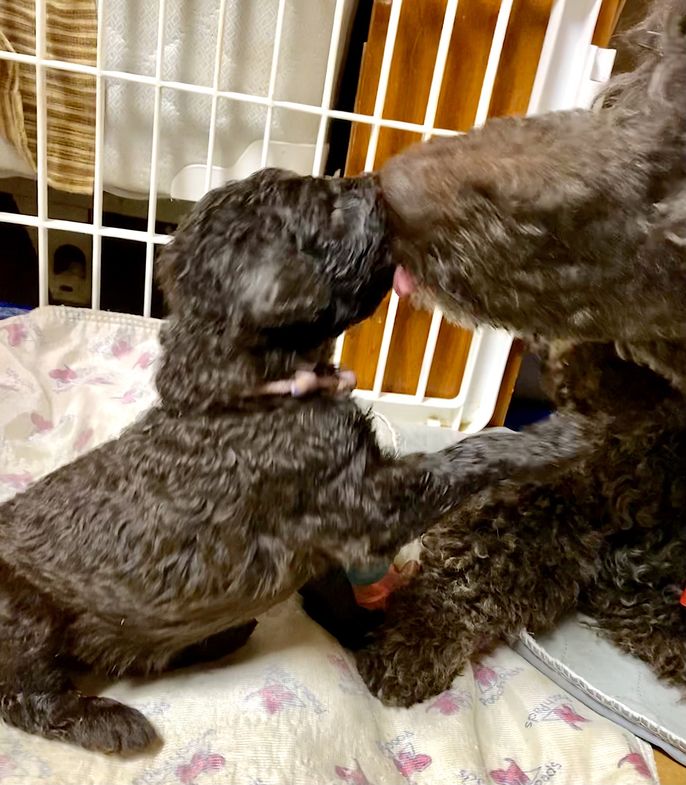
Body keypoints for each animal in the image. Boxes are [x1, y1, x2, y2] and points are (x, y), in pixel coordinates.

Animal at [0, 168, 584, 752]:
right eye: (329, 208)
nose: (382, 181)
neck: (245, 390)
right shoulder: (363, 504)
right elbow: (464, 457)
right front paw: (560, 437)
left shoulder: (324, 537)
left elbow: (336, 590)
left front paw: (365, 631)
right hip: (25, 618)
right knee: (26, 697)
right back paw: (113, 722)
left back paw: (212, 640)